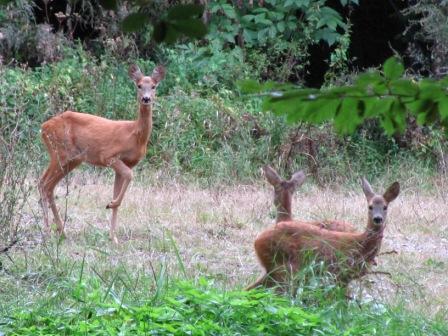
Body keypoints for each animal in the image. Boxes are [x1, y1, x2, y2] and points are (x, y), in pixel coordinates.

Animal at [39, 63, 165, 242]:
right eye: (139, 85)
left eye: (153, 86)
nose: (146, 99)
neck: (134, 134)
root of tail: (43, 127)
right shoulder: (108, 155)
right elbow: (129, 176)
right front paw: (110, 204)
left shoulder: (127, 164)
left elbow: (118, 190)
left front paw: (113, 237)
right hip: (61, 153)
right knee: (44, 184)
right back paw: (48, 232)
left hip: (72, 159)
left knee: (47, 185)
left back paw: (61, 231)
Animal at [248, 178, 400, 292]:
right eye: (370, 206)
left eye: (385, 207)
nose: (377, 219)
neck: (359, 245)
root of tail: (257, 240)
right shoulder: (337, 273)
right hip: (284, 268)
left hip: (275, 269)